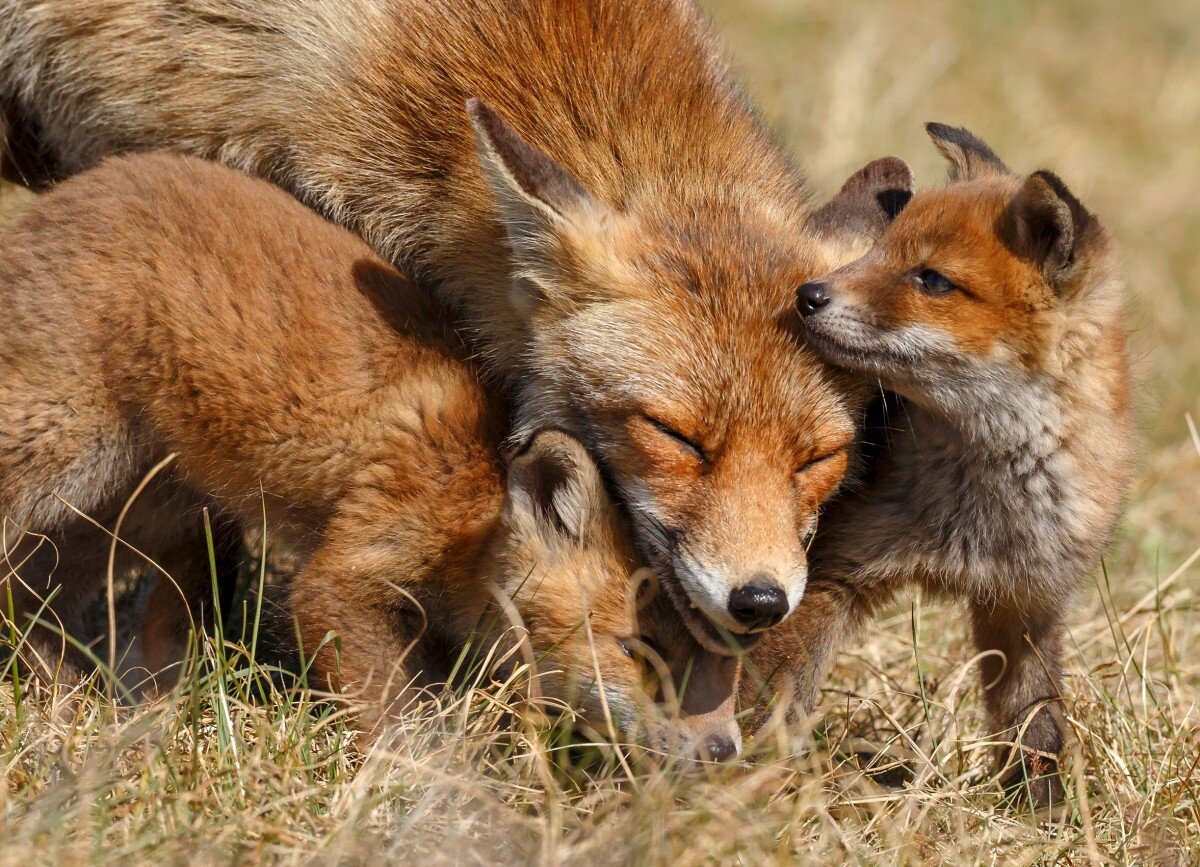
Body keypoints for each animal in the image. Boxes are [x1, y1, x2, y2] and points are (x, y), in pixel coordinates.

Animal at [0, 154, 739, 758]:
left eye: (726, 664)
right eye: (640, 651)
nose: (725, 750)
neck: (474, 499)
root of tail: (65, 194)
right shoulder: (344, 578)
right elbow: (396, 718)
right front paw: (434, 791)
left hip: (137, 509)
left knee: (31, 594)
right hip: (61, 451)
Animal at [748, 124, 1132, 802]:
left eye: (930, 280)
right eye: (878, 251)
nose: (807, 295)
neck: (982, 511)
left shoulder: (1027, 603)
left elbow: (1036, 722)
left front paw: (1040, 810)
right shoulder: (827, 573)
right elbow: (777, 699)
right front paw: (746, 786)